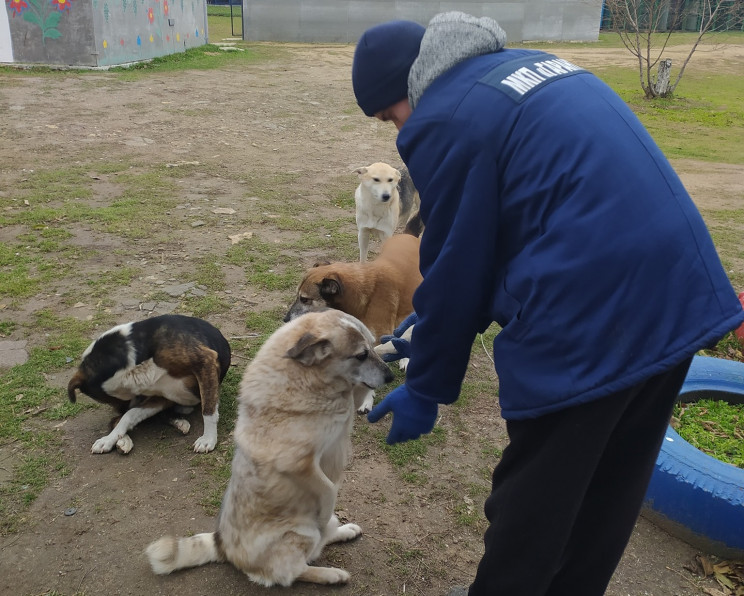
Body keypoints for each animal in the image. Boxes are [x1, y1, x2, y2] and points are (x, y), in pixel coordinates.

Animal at [67, 314, 231, 454]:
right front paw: (110, 439)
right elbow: (129, 414)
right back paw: (123, 440)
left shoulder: (205, 362)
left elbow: (208, 410)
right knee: (118, 419)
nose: (120, 408)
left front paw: (208, 439)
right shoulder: (161, 397)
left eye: (108, 400)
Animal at [142, 310, 392, 588]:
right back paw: (332, 574)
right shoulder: (299, 464)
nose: (391, 377)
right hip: (301, 535)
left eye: (372, 347)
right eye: (361, 355)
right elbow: (329, 490)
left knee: (321, 541)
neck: (309, 379)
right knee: (294, 570)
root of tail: (223, 545)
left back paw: (344, 532)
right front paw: (325, 514)